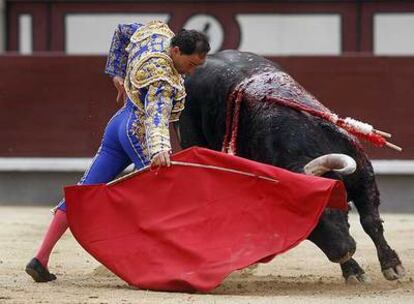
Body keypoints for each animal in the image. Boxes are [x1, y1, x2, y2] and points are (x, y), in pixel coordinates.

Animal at [178, 50, 404, 282]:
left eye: (333, 207)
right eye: (306, 231)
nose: (343, 252)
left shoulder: (363, 174)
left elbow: (370, 221)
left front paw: (392, 266)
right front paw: (353, 271)